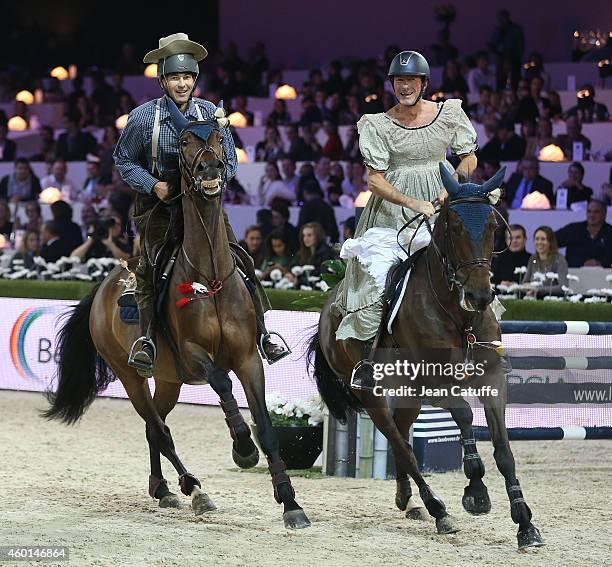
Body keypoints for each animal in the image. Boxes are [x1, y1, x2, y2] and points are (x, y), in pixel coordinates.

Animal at [43, 100, 310, 532]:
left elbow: (268, 429)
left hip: (168, 380)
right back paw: (194, 489)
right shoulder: (194, 354)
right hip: (131, 374)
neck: (211, 277)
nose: (210, 169)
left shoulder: (249, 359)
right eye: (184, 141)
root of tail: (102, 288)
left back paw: (165, 488)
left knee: (156, 428)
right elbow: (221, 382)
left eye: (219, 135)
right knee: (159, 428)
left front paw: (290, 503)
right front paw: (242, 447)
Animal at [308, 165, 544, 552]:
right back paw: (438, 509)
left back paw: (407, 498)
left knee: (402, 434)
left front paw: (525, 523)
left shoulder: (492, 379)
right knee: (397, 440)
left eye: (492, 227)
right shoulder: (437, 380)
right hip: (372, 392)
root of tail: (329, 307)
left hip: (410, 393)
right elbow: (464, 415)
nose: (479, 296)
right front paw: (476, 491)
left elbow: (503, 449)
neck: (458, 315)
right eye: (453, 225)